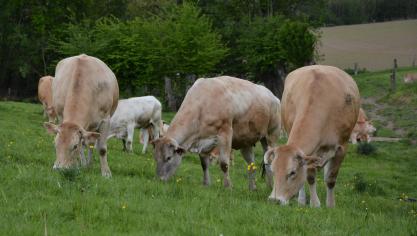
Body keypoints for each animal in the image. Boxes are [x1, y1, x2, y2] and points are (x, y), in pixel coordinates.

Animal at [152, 76, 280, 191]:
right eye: (155, 158)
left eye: (168, 158)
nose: (159, 180)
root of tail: (273, 96)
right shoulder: (203, 140)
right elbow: (204, 163)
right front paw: (206, 184)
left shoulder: (225, 133)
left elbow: (224, 164)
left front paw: (228, 187)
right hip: (246, 141)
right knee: (251, 165)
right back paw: (253, 188)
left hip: (271, 134)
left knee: (270, 161)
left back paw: (271, 187)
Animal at [264, 64, 358, 206]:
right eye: (273, 170)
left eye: (292, 172)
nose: (274, 200)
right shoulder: (310, 155)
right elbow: (310, 176)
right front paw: (315, 204)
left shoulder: (342, 147)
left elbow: (331, 178)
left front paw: (330, 205)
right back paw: (302, 200)